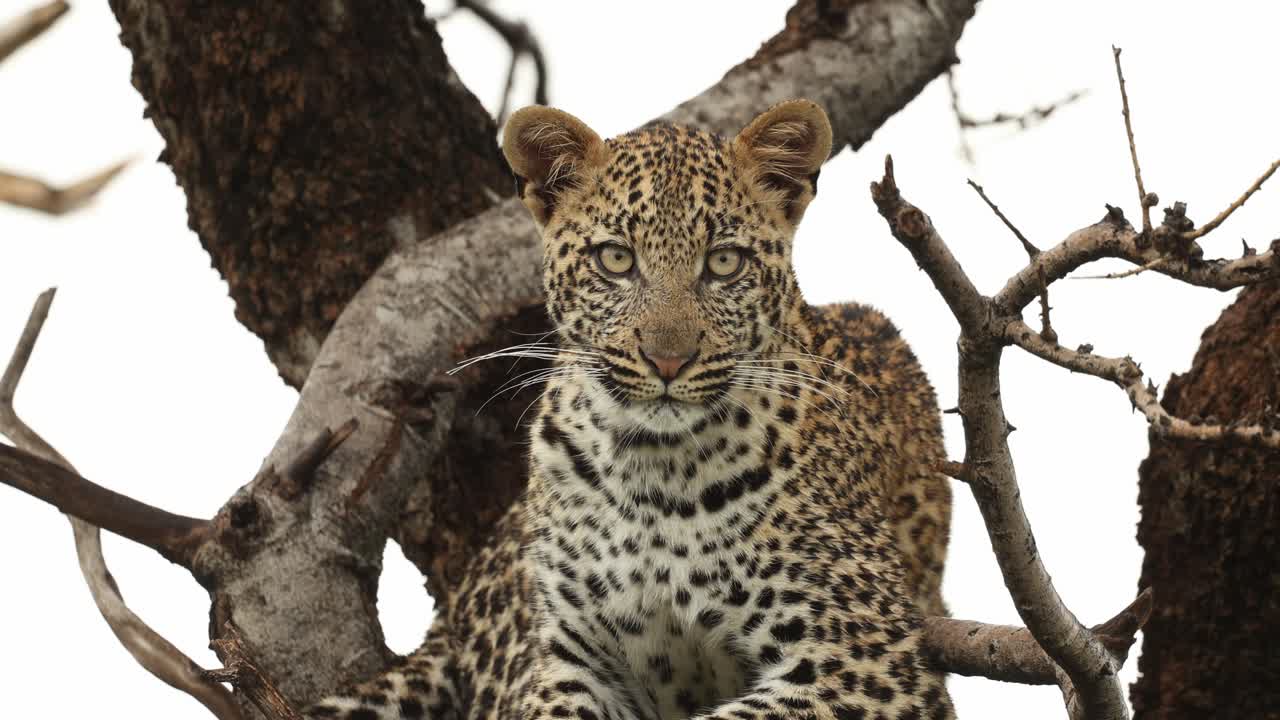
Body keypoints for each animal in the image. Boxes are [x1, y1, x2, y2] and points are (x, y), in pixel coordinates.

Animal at [307, 100, 953, 720]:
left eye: (724, 263)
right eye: (615, 259)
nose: (668, 360)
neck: (657, 472)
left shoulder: (864, 655)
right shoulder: (570, 659)